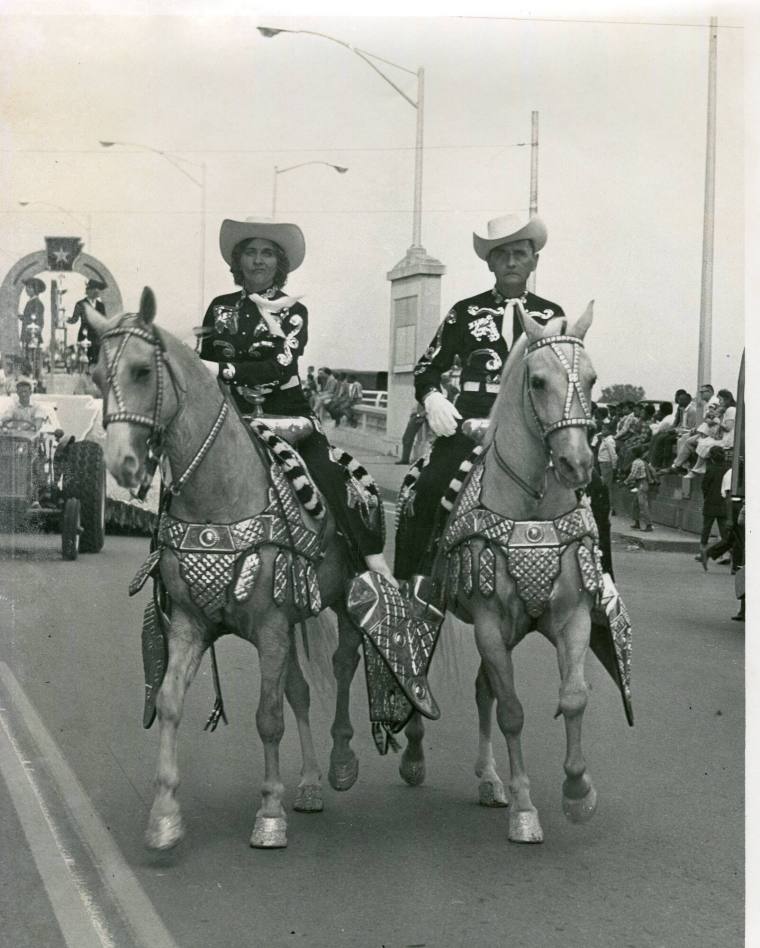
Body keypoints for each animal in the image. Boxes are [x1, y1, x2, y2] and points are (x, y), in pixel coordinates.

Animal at [84, 290, 366, 852]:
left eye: (143, 370)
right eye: (99, 376)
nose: (123, 464)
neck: (220, 496)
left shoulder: (271, 626)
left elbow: (268, 716)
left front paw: (269, 814)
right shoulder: (192, 624)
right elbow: (170, 701)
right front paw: (164, 817)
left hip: (343, 600)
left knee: (344, 663)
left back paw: (341, 762)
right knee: (301, 690)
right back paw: (308, 784)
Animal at [398, 300, 604, 840]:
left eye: (592, 379)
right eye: (538, 381)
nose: (577, 465)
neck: (531, 503)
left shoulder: (570, 617)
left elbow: (573, 697)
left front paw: (578, 792)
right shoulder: (490, 622)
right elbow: (512, 710)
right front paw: (525, 809)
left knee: (481, 689)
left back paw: (490, 779)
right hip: (425, 600)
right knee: (418, 672)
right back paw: (415, 757)